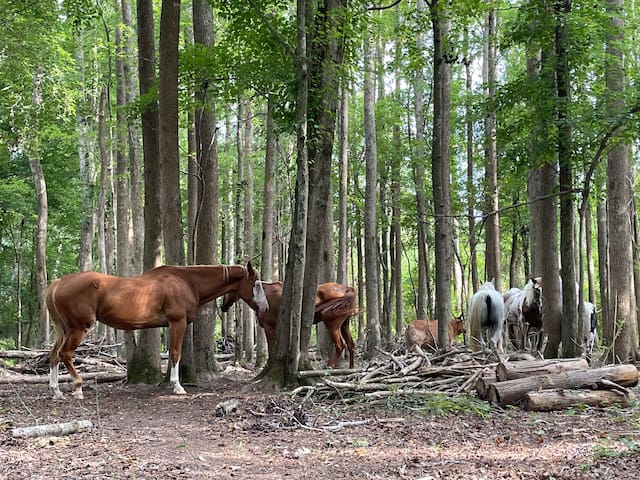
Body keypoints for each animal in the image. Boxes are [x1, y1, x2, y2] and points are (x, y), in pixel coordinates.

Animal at [47, 262, 268, 398]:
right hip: (79, 328)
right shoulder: (177, 323)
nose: (265, 308)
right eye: (256, 284)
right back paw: (78, 387)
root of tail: (58, 283)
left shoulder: (170, 326)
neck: (188, 281)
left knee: (54, 355)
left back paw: (56, 390)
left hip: (64, 329)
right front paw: (177, 386)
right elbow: (176, 353)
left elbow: (172, 354)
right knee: (65, 354)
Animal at [222, 282, 358, 368]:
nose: (222, 306)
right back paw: (351, 368)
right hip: (344, 324)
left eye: (229, 290)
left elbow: (272, 348)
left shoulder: (269, 327)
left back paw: (329, 367)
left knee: (340, 345)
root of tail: (347, 288)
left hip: (332, 324)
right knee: (351, 344)